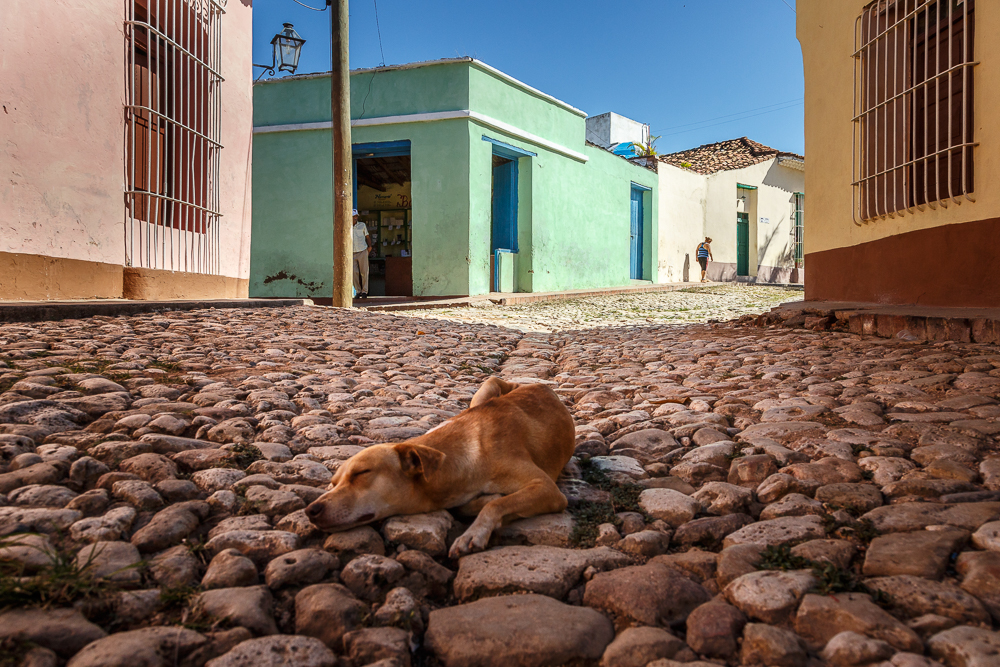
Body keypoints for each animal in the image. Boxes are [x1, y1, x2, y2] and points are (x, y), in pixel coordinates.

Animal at [302, 378, 572, 560]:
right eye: (333, 483)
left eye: (361, 473)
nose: (310, 510)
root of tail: (533, 383)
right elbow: (480, 502)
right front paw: (483, 500)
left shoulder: (548, 489)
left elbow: (496, 504)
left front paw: (473, 533)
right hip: (484, 390)